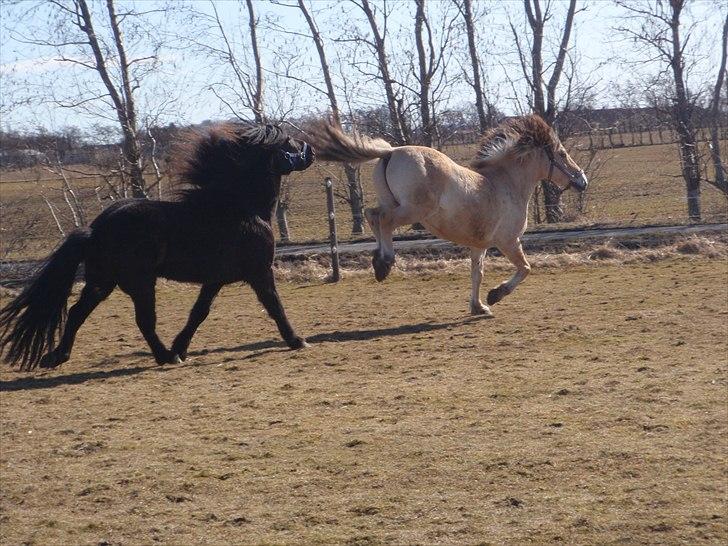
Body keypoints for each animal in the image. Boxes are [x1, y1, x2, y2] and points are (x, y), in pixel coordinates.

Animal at [0, 122, 314, 370]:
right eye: (289, 141)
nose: (310, 150)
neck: (241, 208)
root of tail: (96, 229)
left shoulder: (215, 279)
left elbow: (198, 313)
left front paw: (181, 347)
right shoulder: (259, 272)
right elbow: (274, 306)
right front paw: (297, 340)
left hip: (102, 282)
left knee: (78, 312)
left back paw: (57, 356)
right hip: (139, 283)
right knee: (143, 320)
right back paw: (164, 356)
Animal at [310, 115, 588, 316]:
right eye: (562, 154)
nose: (582, 181)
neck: (506, 183)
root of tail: (390, 151)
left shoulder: (480, 244)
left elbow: (477, 273)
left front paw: (479, 307)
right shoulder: (509, 241)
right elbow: (526, 268)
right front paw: (495, 296)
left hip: (394, 203)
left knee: (372, 214)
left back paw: (379, 262)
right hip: (412, 211)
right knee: (383, 220)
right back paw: (385, 262)